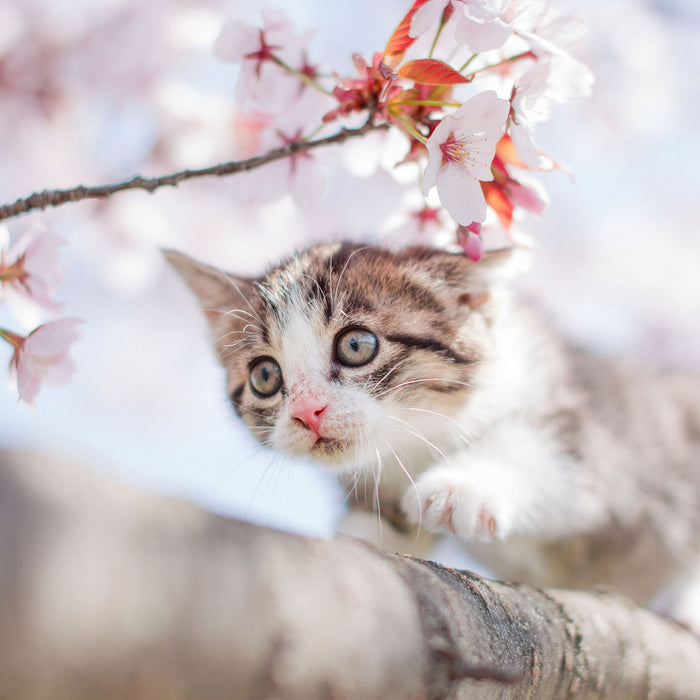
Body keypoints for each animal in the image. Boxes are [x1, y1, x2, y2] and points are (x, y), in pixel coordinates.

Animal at [165, 242, 700, 628]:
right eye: (265, 376)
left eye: (356, 345)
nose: (307, 412)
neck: (421, 435)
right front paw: (361, 534)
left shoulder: (597, 436)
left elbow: (544, 452)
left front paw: (458, 488)